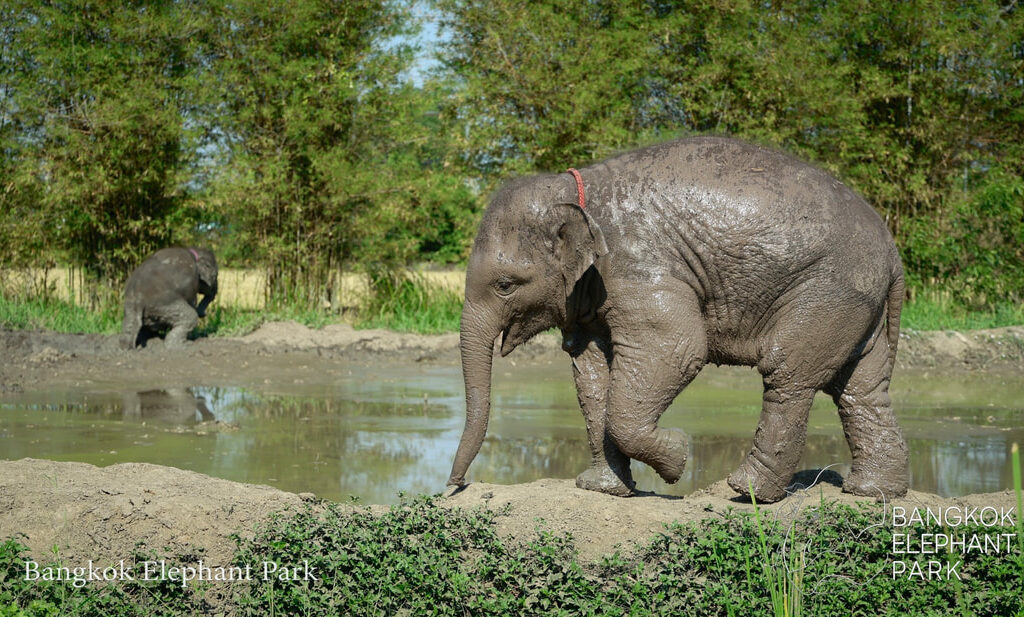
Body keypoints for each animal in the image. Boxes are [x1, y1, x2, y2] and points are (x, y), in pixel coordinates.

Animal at [447, 135, 909, 503]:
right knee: (861, 387)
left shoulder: (638, 266)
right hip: (857, 305)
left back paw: (745, 492)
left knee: (788, 374)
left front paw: (678, 457)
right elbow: (590, 373)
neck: (570, 190)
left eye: (505, 285)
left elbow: (679, 347)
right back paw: (872, 493)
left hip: (828, 291)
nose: (454, 486)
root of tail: (892, 253)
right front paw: (602, 489)